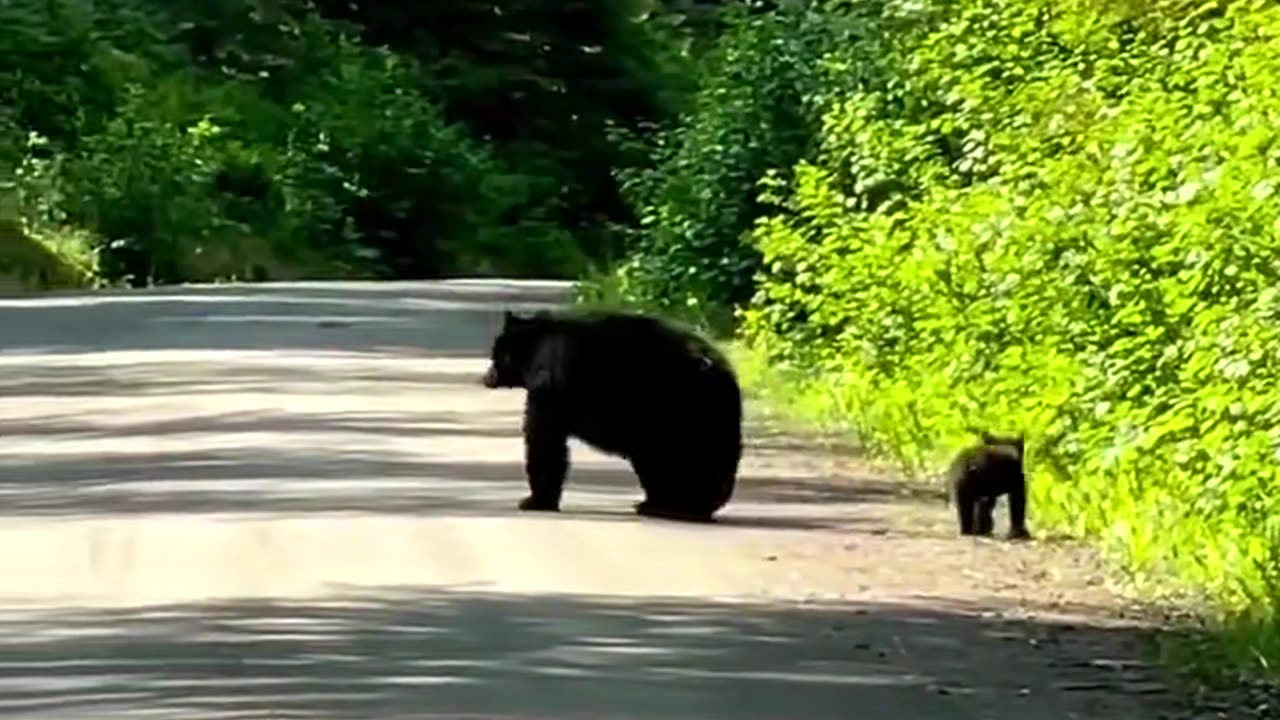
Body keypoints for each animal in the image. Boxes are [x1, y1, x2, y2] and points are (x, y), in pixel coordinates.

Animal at [481, 308, 743, 522]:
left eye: (496, 352)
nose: (487, 377)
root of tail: (718, 369)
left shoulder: (550, 386)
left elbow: (544, 440)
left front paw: (534, 501)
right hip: (712, 416)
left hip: (674, 410)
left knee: (674, 457)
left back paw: (674, 505)